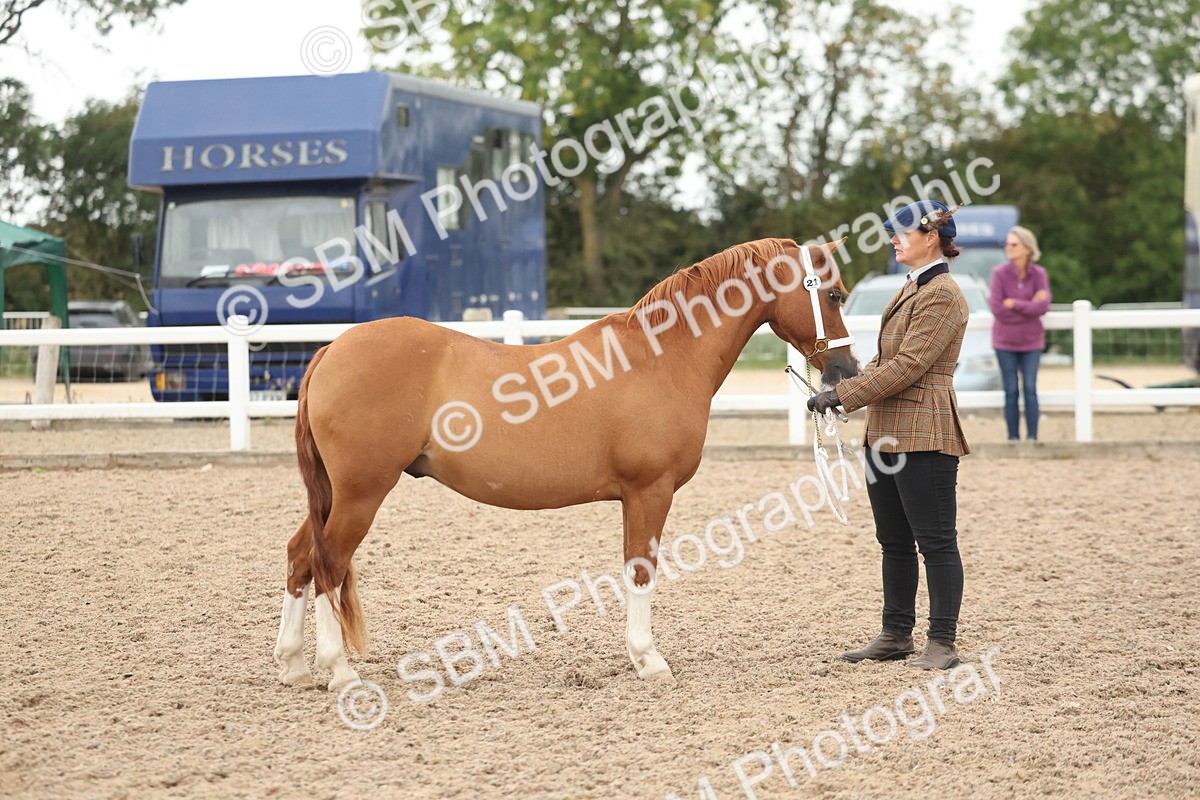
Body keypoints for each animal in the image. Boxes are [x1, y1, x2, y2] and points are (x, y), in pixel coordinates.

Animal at [273, 237, 858, 693]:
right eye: (832, 294)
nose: (847, 371)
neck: (662, 356)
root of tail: (330, 351)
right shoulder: (650, 490)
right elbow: (641, 569)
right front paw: (649, 661)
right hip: (362, 493)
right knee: (327, 562)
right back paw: (339, 672)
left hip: (337, 493)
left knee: (301, 555)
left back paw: (294, 665)